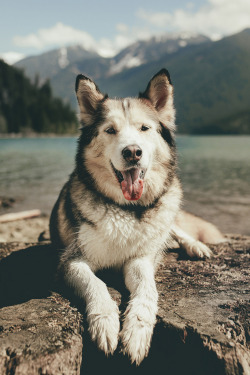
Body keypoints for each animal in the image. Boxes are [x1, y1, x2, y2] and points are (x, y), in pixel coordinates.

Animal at [49, 69, 225, 366]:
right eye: (110, 130)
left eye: (144, 128)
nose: (132, 152)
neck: (128, 211)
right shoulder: (72, 260)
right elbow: (96, 285)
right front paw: (105, 322)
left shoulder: (139, 259)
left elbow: (147, 289)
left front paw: (137, 331)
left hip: (167, 209)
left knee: (175, 229)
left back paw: (194, 246)